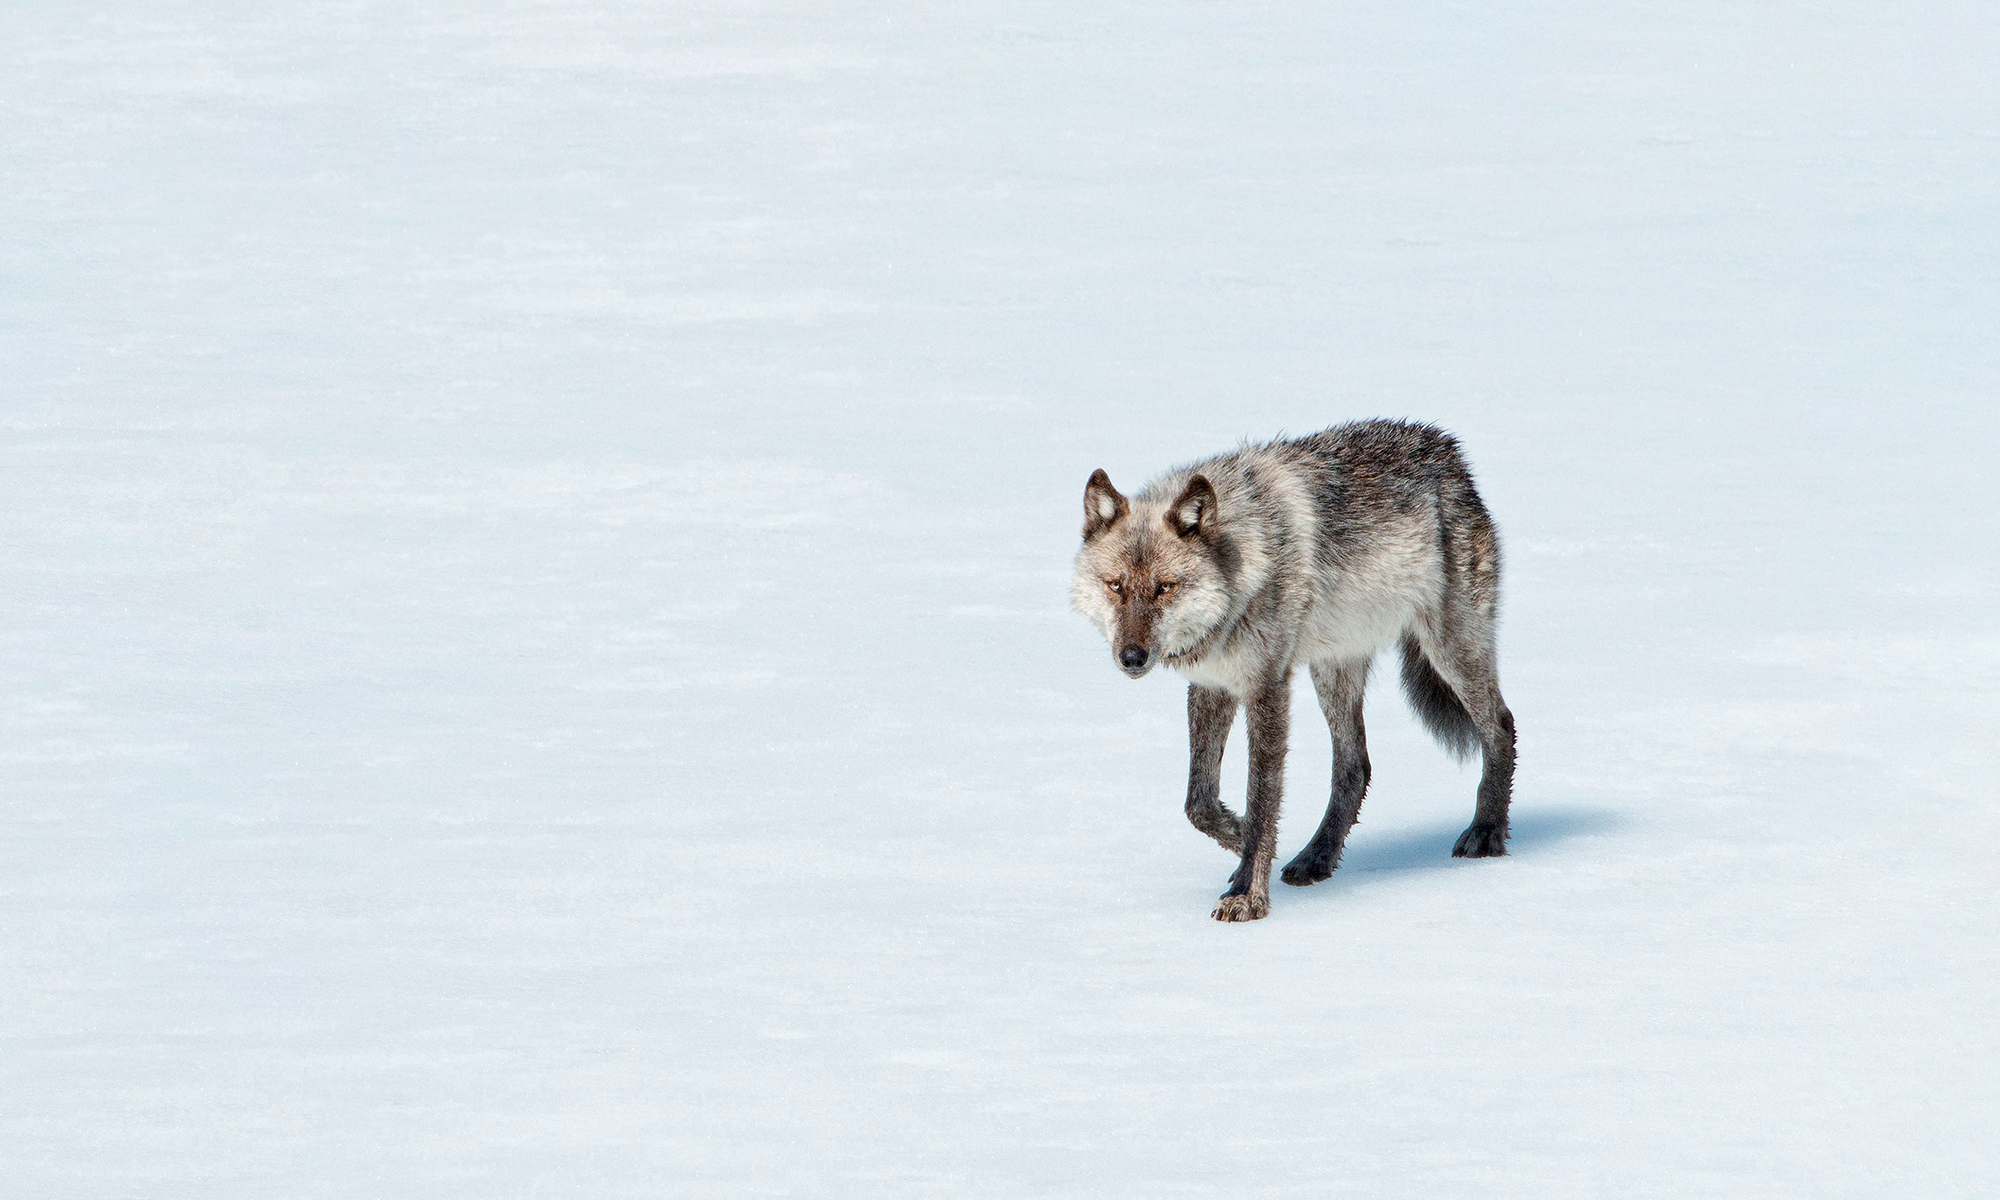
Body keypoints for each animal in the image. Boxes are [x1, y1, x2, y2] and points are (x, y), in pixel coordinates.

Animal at [1071, 420, 1516, 922]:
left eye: (1165, 587)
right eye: (1116, 586)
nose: (1132, 657)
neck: (1244, 556)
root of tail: (1448, 452)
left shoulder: (1267, 686)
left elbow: (1262, 798)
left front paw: (1248, 894)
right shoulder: (1212, 684)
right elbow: (1198, 802)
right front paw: (1238, 838)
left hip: (1451, 651)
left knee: (1501, 725)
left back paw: (1486, 833)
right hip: (1335, 670)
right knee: (1354, 765)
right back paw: (1315, 857)